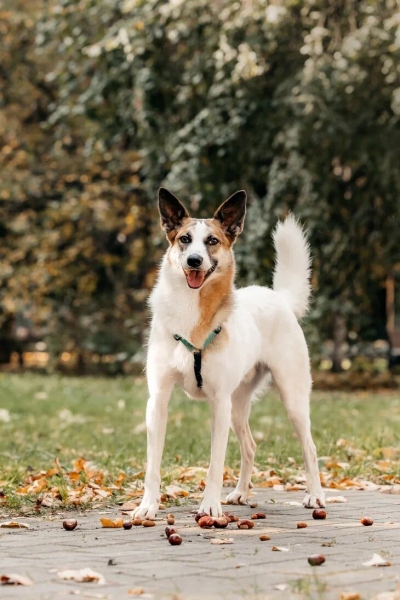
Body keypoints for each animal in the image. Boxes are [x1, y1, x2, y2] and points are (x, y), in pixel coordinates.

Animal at [132, 188, 325, 519]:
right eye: (184, 239)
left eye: (212, 241)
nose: (194, 260)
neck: (191, 310)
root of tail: (279, 298)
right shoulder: (157, 401)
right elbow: (152, 466)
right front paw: (148, 506)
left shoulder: (219, 403)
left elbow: (215, 464)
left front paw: (210, 505)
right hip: (238, 406)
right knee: (250, 446)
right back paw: (240, 493)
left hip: (293, 400)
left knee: (309, 448)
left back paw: (314, 495)